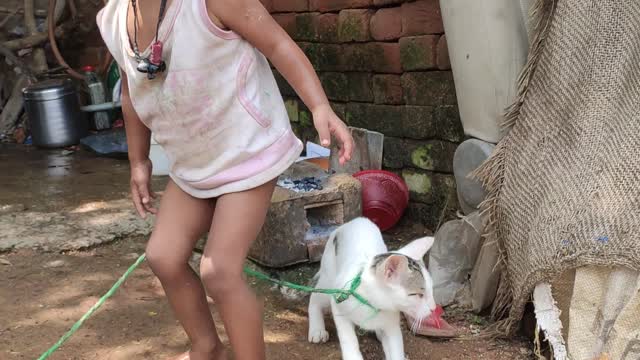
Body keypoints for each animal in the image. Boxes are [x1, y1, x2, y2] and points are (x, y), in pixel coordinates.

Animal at [308, 217, 438, 360]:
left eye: (431, 290)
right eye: (418, 295)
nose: (434, 309)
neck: (374, 304)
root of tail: (354, 220)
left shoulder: (392, 326)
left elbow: (396, 350)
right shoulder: (338, 304)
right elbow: (348, 338)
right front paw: (353, 356)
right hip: (329, 281)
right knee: (314, 297)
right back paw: (317, 329)